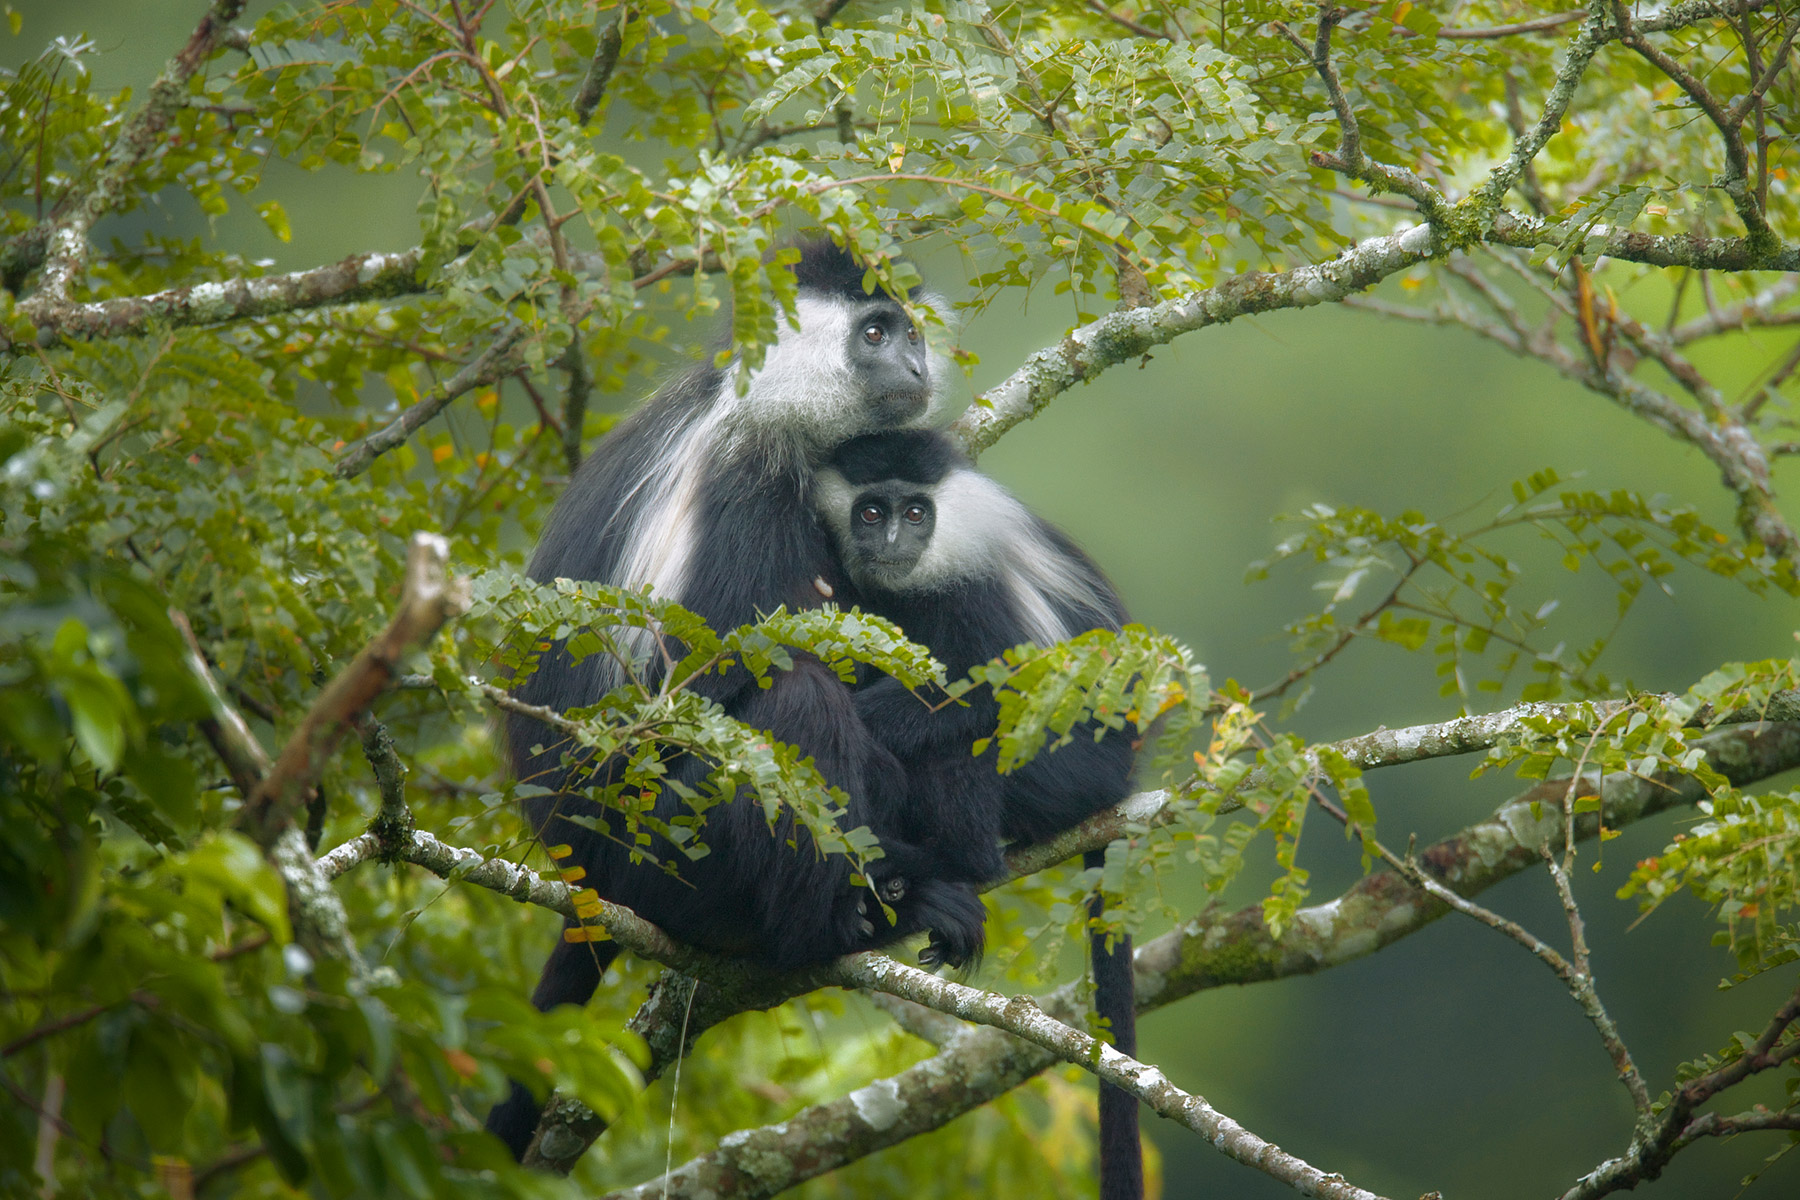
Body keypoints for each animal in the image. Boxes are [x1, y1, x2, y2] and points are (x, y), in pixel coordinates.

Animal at [489, 241, 986, 1165]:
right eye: (874, 332)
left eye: (909, 331)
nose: (914, 365)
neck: (765, 403)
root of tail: (578, 860)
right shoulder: (744, 484)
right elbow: (716, 679)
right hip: (659, 848)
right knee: (796, 710)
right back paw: (842, 922)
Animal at [824, 429, 1144, 1200]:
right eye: (870, 511)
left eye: (915, 513)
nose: (890, 542)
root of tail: (1120, 778)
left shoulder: (976, 587)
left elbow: (998, 691)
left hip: (1068, 771)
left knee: (969, 742)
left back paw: (940, 871)